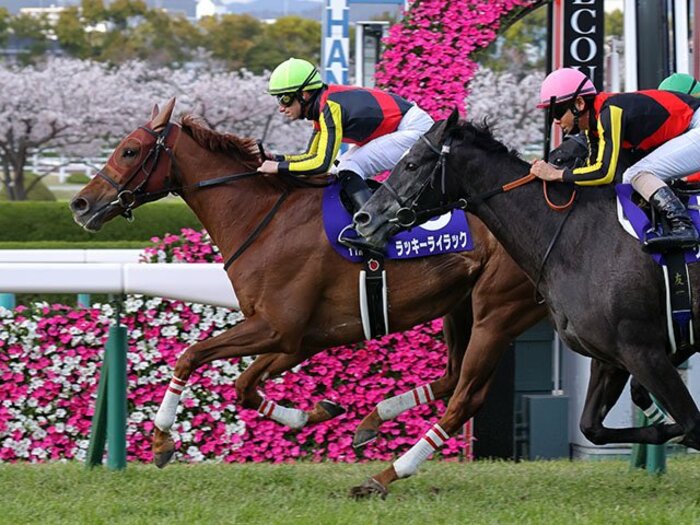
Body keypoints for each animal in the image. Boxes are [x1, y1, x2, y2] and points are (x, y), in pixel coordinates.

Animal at [68, 100, 544, 468]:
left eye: (130, 151)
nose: (80, 204)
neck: (264, 219)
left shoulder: (278, 327)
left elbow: (189, 356)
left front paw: (161, 440)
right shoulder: (302, 337)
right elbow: (244, 387)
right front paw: (318, 411)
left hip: (496, 311)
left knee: (465, 393)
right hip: (458, 306)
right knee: (450, 377)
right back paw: (371, 421)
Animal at [348, 109, 696, 496]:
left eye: (410, 164)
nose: (364, 218)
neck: (574, 237)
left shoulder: (643, 351)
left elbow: (691, 422)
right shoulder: (613, 356)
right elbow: (593, 427)